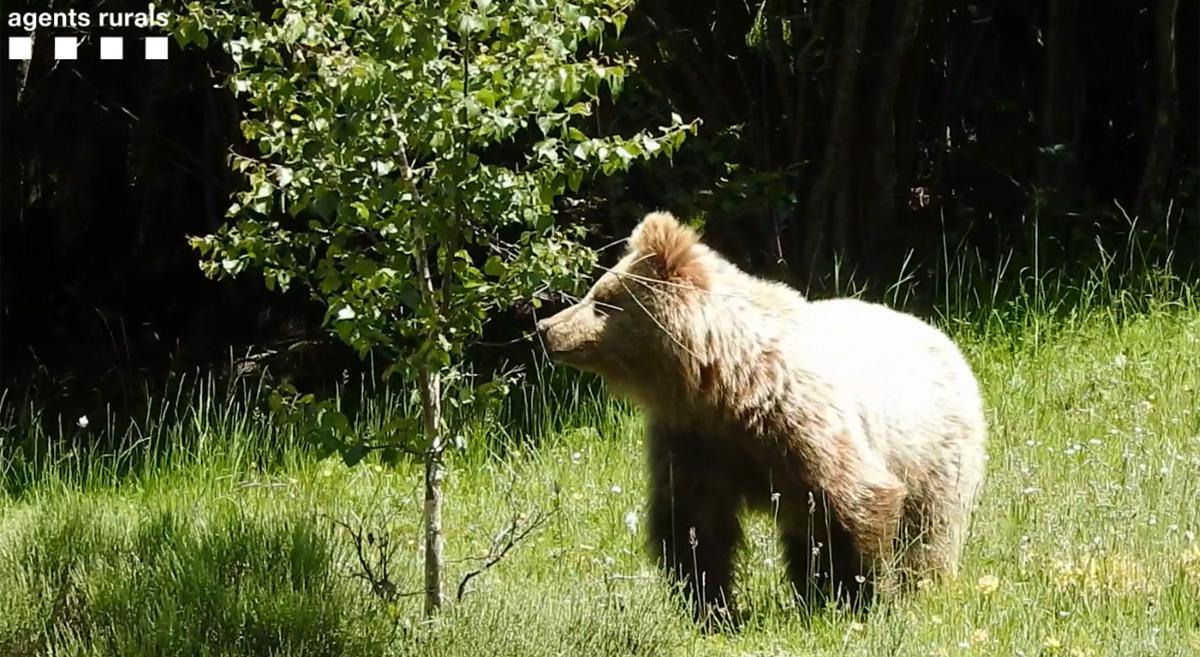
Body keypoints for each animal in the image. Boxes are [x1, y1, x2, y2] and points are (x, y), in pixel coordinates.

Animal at [540, 212, 988, 623]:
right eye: (596, 292)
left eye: (603, 301)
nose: (546, 327)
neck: (727, 383)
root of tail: (942, 338)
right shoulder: (694, 440)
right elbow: (694, 524)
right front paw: (712, 607)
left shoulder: (801, 422)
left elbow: (858, 499)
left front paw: (862, 596)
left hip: (934, 449)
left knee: (928, 531)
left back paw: (917, 587)